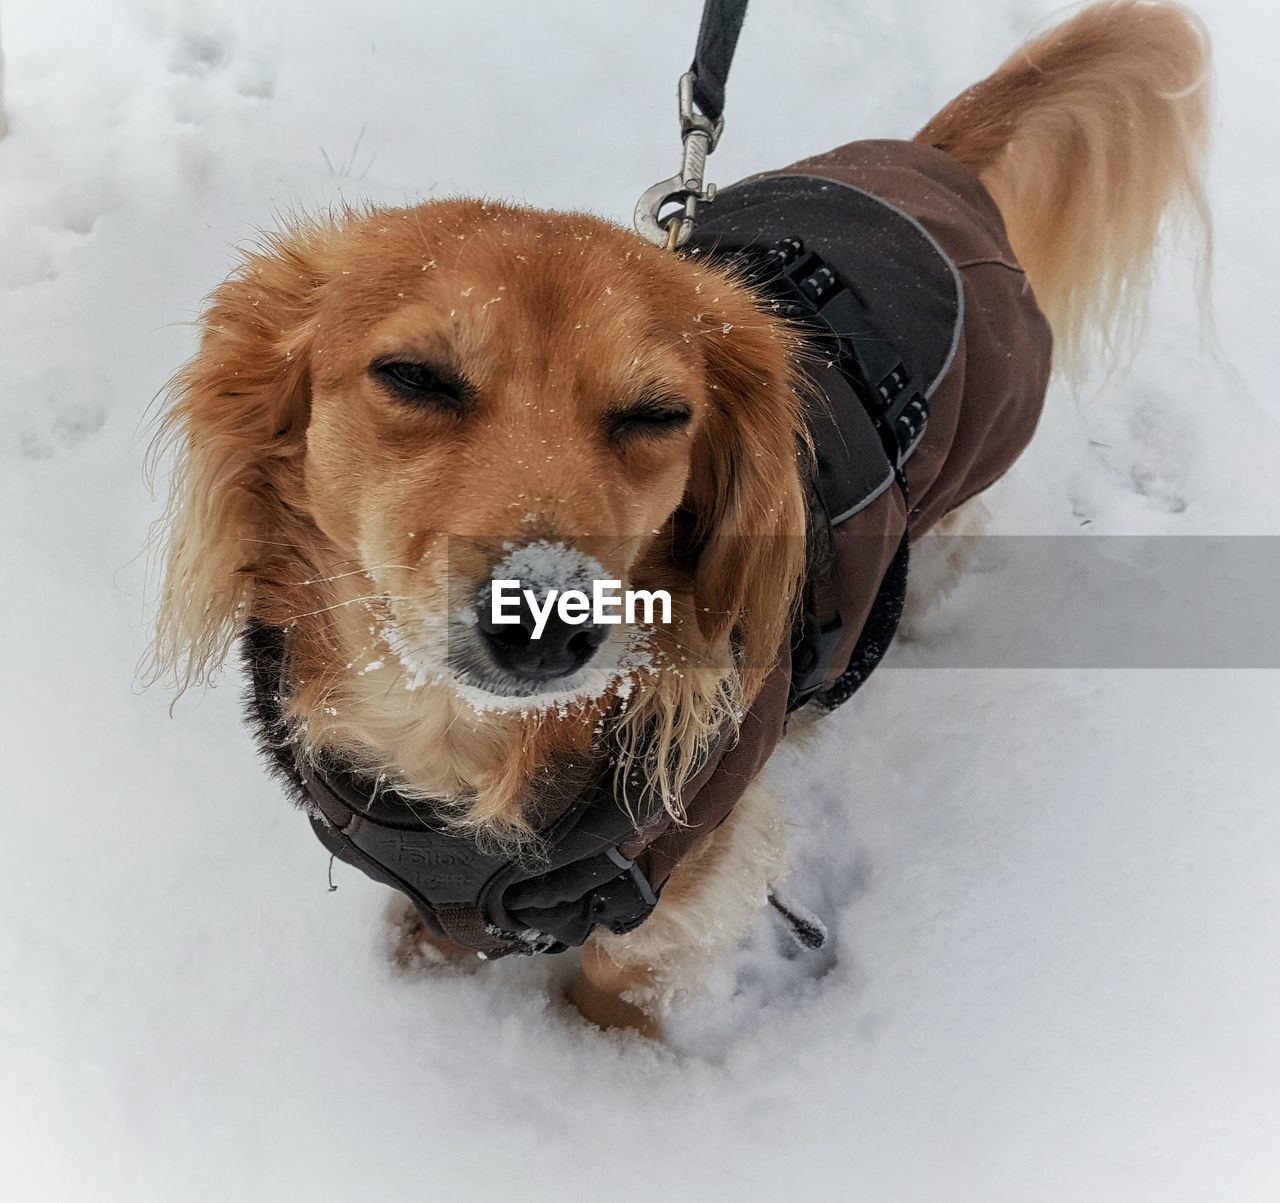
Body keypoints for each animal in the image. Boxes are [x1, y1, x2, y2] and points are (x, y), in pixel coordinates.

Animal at [147, 0, 1208, 1039]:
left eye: (656, 414)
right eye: (414, 376)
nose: (546, 622)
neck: (465, 745)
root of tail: (930, 163)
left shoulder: (694, 861)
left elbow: (623, 979)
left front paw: (600, 1065)